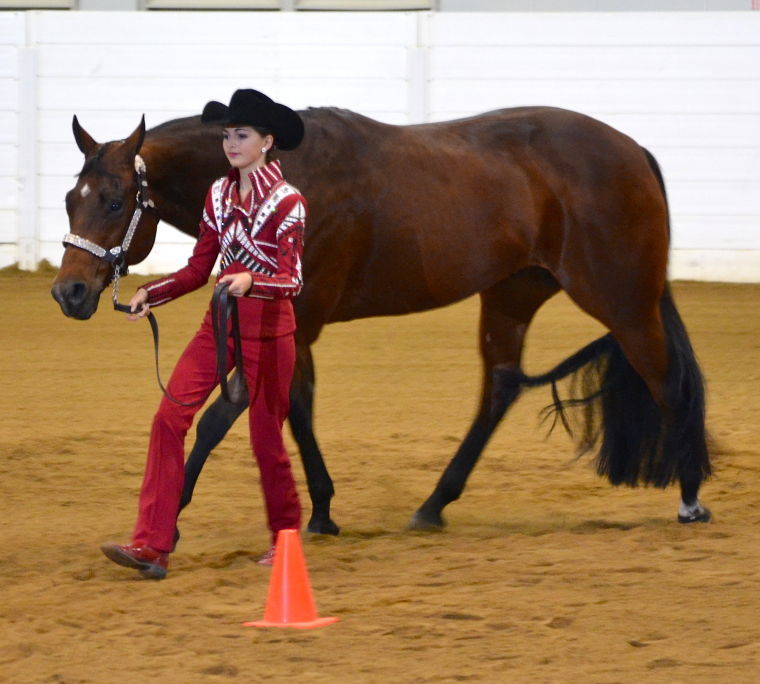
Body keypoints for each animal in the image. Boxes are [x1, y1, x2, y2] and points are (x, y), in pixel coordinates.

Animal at [51, 105, 712, 539]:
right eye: (68, 199)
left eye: (115, 201)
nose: (69, 292)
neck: (288, 175)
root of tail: (633, 151)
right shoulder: (288, 323)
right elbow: (294, 407)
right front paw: (320, 511)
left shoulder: (294, 315)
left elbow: (230, 415)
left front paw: (170, 519)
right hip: (513, 293)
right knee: (499, 387)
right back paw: (434, 504)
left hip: (623, 301)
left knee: (668, 384)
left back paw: (690, 500)